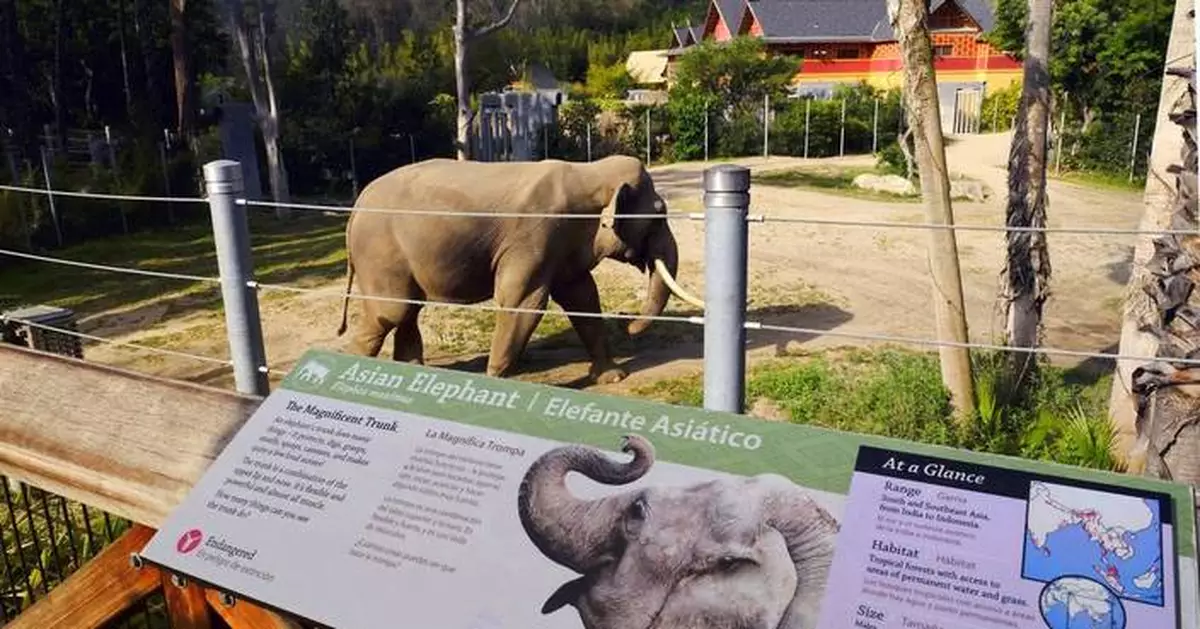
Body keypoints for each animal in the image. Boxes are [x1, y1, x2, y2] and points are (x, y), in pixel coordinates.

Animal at [334, 155, 704, 384]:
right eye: (658, 216)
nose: (628, 322)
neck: (588, 172)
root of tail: (356, 207)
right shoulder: (534, 236)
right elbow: (524, 302)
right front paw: (496, 381)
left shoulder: (563, 244)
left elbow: (583, 298)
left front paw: (613, 377)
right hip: (381, 252)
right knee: (392, 312)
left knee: (407, 312)